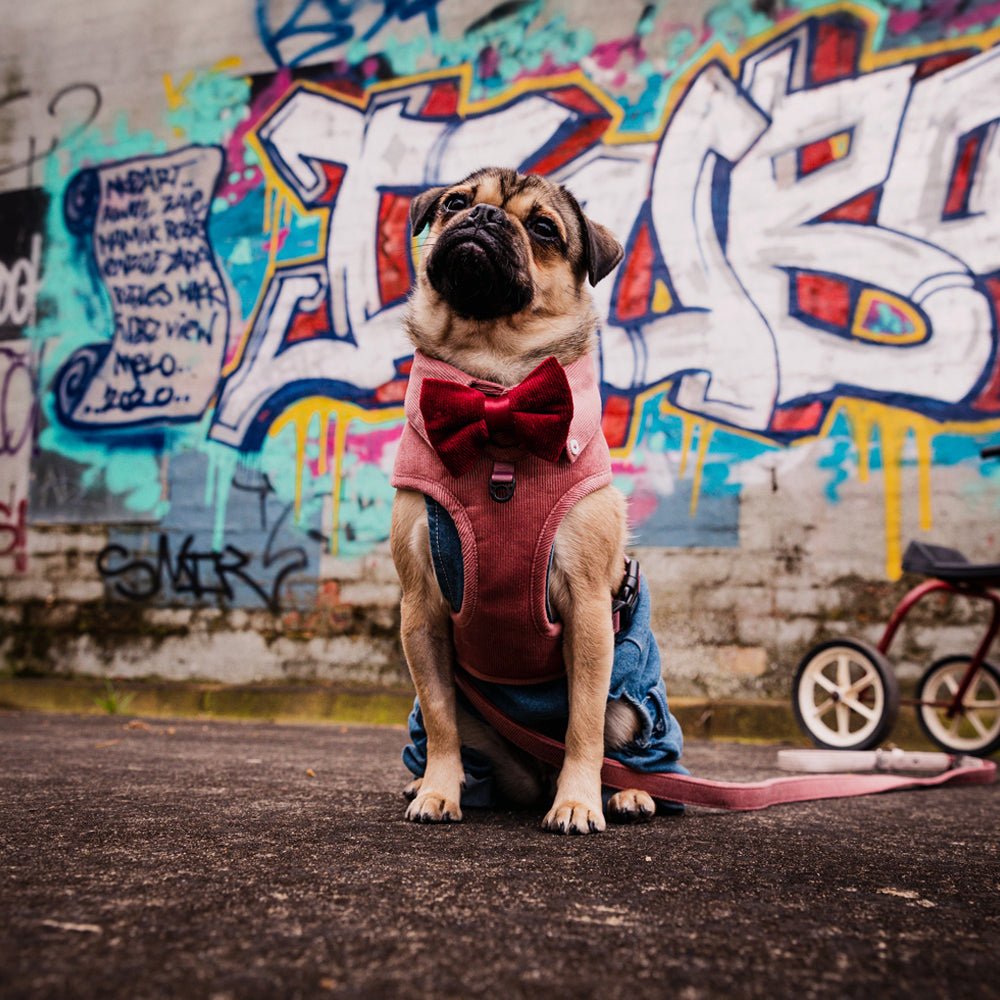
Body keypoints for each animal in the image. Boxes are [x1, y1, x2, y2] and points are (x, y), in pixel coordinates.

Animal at [388, 166, 680, 836]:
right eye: (454, 203)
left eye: (544, 229)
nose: (484, 218)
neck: (496, 392)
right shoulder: (421, 609)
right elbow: (441, 718)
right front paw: (438, 791)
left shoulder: (590, 610)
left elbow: (583, 725)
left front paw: (577, 802)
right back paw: (443, 782)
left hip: (638, 704)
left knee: (632, 747)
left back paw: (628, 793)